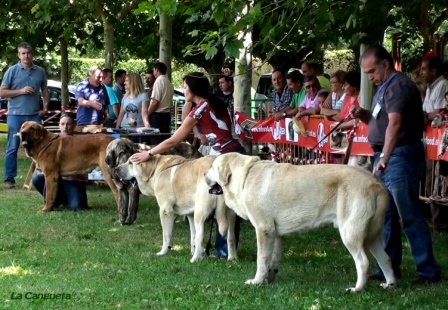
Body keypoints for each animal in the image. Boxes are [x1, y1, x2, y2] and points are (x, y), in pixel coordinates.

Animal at [204, 154, 396, 292]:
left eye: (212, 167)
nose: (204, 174)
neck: (245, 175)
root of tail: (378, 184)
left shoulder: (264, 229)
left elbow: (261, 259)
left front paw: (257, 281)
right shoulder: (276, 234)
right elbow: (273, 260)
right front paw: (269, 279)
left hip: (350, 234)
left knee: (363, 262)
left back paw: (357, 289)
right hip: (372, 237)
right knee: (386, 258)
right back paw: (390, 285)